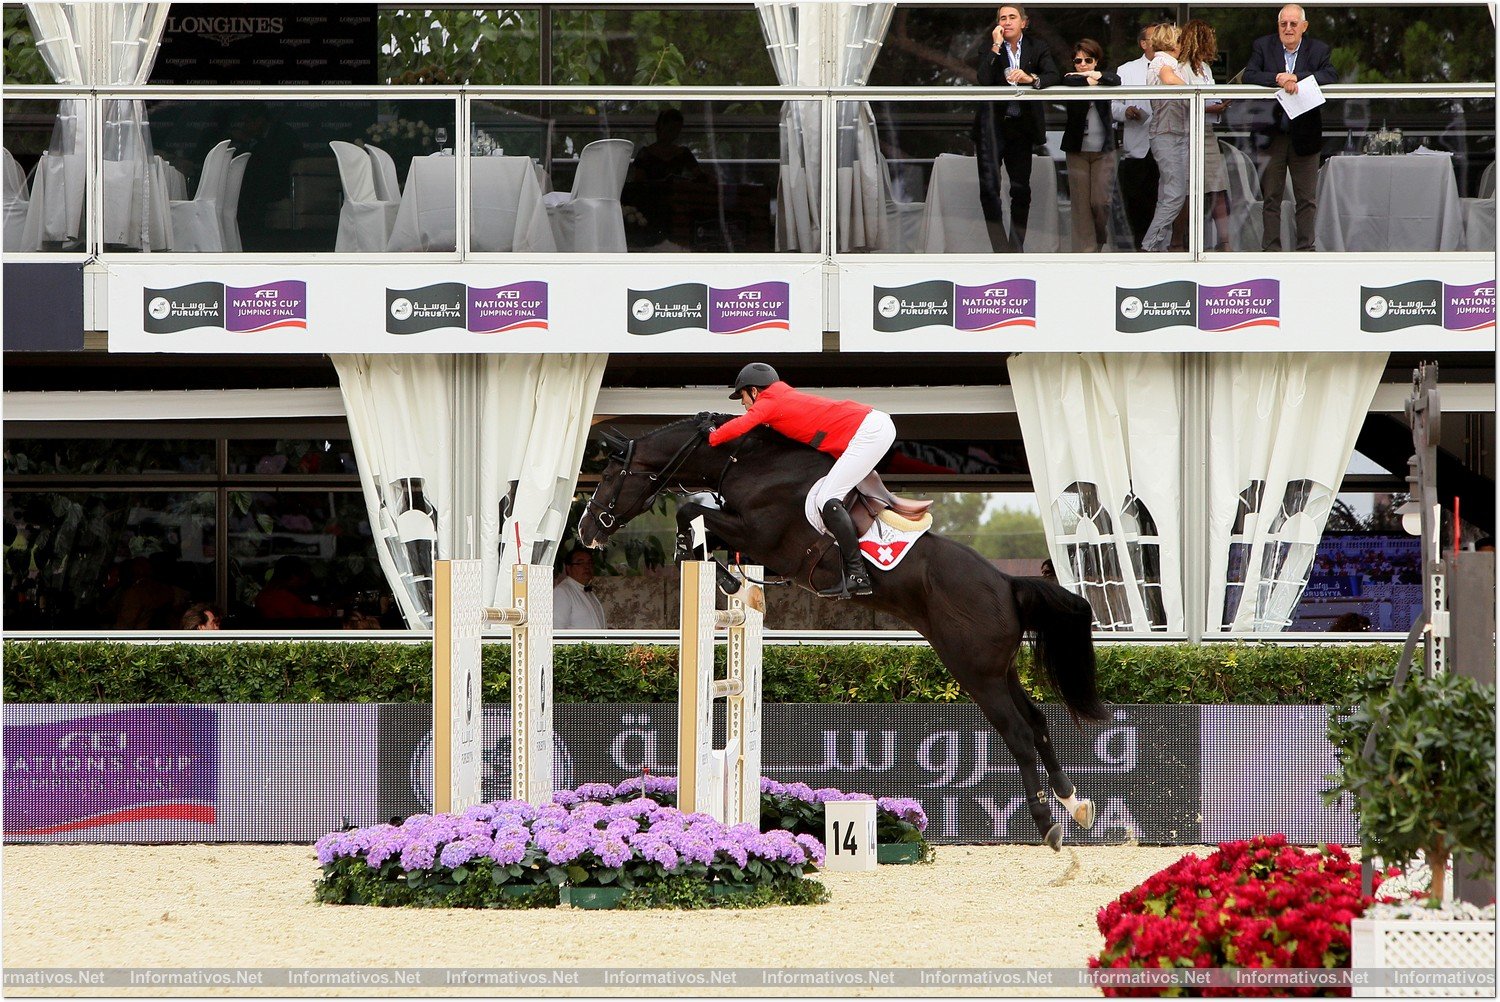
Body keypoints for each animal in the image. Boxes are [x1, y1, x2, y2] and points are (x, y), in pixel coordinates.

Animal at [576, 414, 1116, 846]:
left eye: (610, 474)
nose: (586, 530)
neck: (743, 463)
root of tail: (1006, 583)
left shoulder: (763, 537)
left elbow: (692, 511)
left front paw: (715, 568)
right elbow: (700, 525)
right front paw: (719, 570)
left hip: (976, 673)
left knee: (1019, 732)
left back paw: (1048, 822)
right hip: (999, 671)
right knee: (1039, 723)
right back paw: (1076, 804)